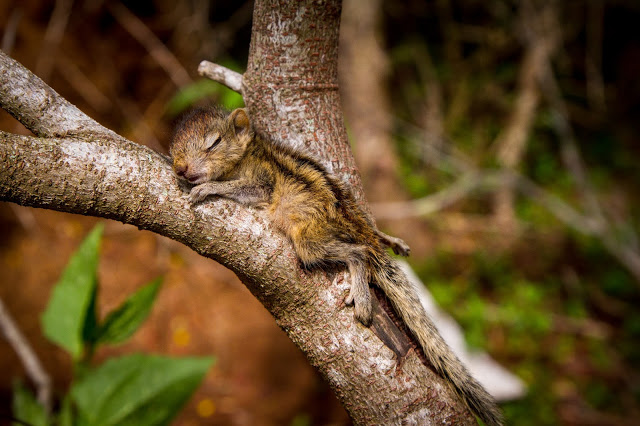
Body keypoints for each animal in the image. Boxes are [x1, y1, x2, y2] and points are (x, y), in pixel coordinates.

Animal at [170, 107, 504, 426]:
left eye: (214, 143)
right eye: (174, 148)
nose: (181, 169)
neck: (247, 154)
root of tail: (358, 228)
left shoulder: (261, 182)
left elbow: (242, 188)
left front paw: (208, 188)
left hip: (310, 239)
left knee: (358, 254)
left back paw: (363, 294)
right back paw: (389, 240)